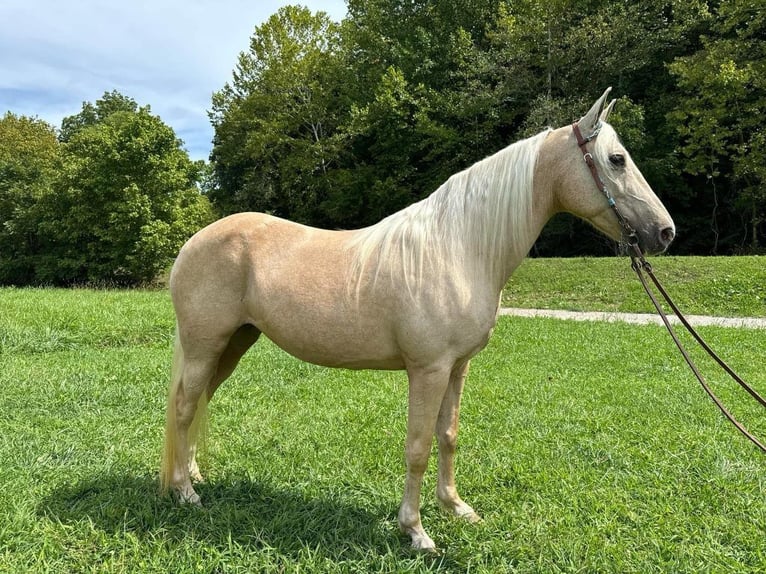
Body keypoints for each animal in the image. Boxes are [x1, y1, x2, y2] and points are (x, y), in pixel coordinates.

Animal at [160, 90, 672, 552]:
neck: (460, 247)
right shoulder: (428, 370)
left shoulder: (458, 367)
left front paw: (457, 508)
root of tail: (192, 243)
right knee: (185, 406)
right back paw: (185, 492)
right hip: (207, 345)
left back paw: (193, 474)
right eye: (617, 159)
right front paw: (416, 531)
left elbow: (448, 437)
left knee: (199, 402)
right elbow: (419, 445)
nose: (665, 232)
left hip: (234, 345)